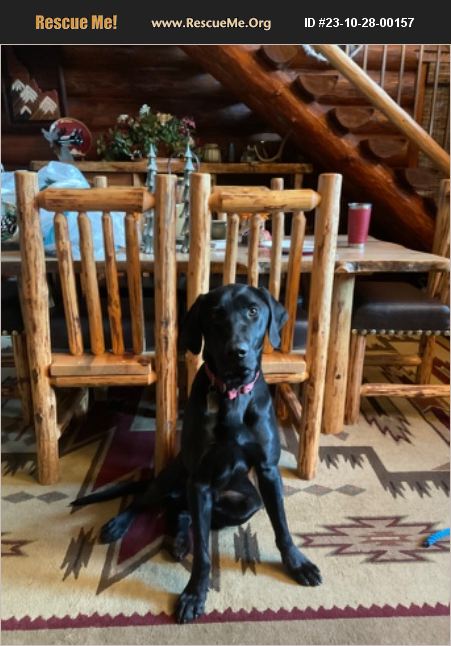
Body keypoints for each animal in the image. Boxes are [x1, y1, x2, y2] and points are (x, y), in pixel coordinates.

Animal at [72, 284, 322, 623]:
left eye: (253, 311)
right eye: (215, 314)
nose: (236, 351)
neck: (232, 394)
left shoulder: (268, 472)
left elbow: (281, 526)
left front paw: (297, 563)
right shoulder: (200, 480)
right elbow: (203, 551)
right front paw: (194, 594)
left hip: (246, 501)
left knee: (183, 512)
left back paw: (179, 539)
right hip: (174, 478)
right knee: (146, 501)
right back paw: (121, 524)